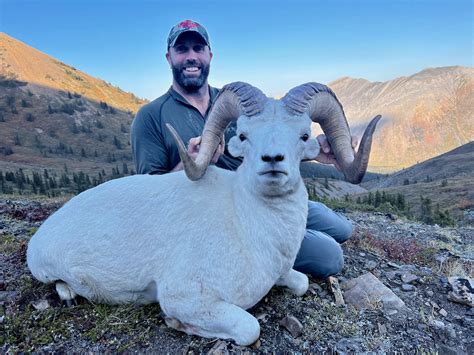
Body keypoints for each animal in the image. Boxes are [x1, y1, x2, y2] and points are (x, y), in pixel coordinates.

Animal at [26, 82, 382, 344]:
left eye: (304, 135)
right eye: (243, 135)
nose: (272, 160)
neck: (247, 228)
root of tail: (40, 238)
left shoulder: (286, 274)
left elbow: (302, 282)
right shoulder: (187, 298)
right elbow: (249, 328)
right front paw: (176, 324)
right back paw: (69, 293)